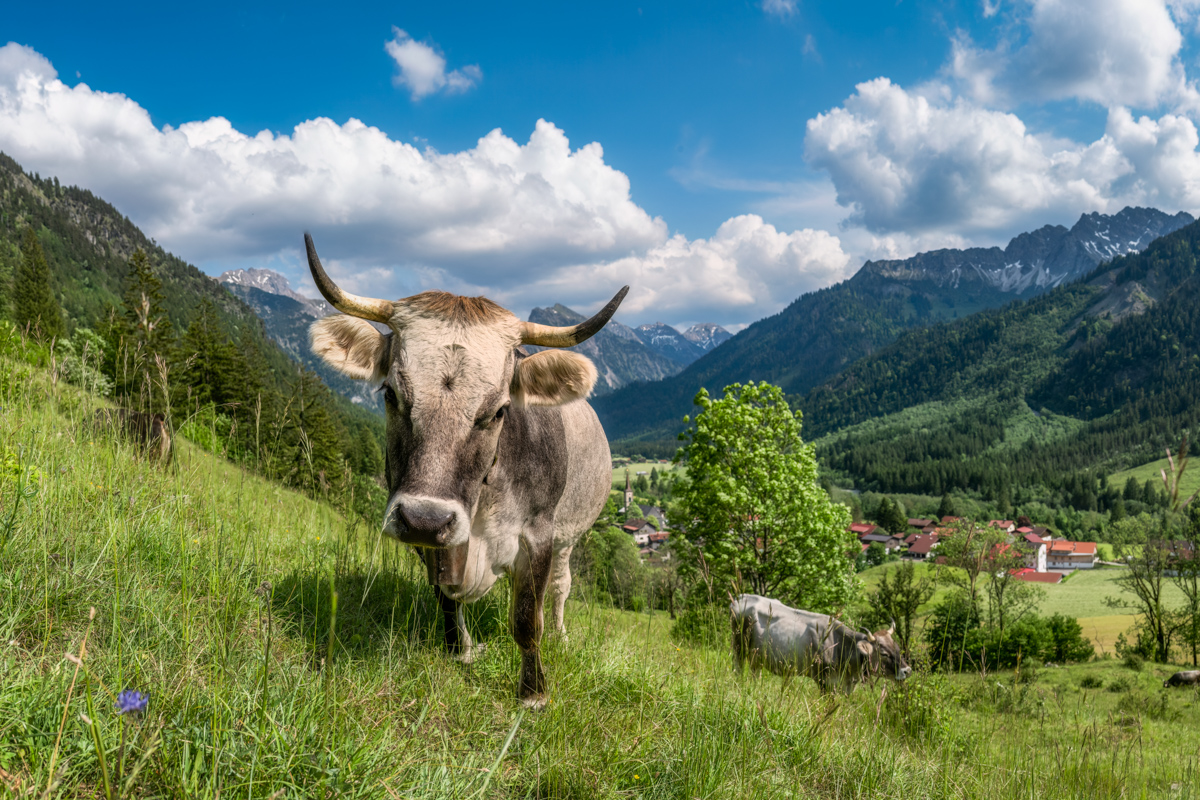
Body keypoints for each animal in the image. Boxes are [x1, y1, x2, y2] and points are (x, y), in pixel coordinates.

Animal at [302, 234, 623, 708]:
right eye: (390, 393)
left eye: (499, 410)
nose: (425, 517)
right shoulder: (429, 534)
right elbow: (445, 596)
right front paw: (461, 649)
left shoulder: (539, 535)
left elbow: (527, 617)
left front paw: (533, 692)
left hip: (571, 534)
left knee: (560, 588)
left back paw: (562, 635)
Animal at [730, 593, 911, 693]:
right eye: (884, 653)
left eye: (898, 648)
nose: (907, 670)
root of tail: (743, 597)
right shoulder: (824, 681)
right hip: (739, 647)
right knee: (738, 668)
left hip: (757, 656)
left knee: (755, 672)